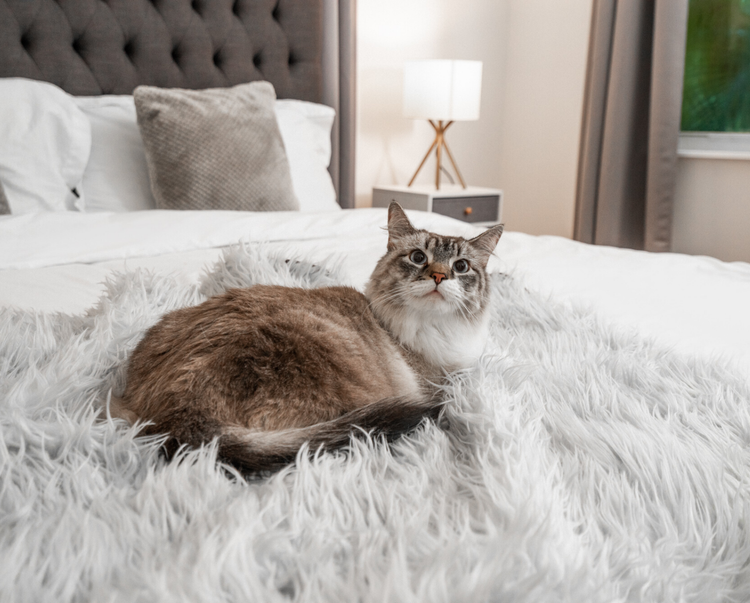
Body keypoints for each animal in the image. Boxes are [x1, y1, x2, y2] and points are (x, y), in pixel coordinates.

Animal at [114, 204, 506, 476]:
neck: (431, 330)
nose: (439, 277)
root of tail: (182, 416)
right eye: (418, 257)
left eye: (461, 267)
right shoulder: (443, 379)